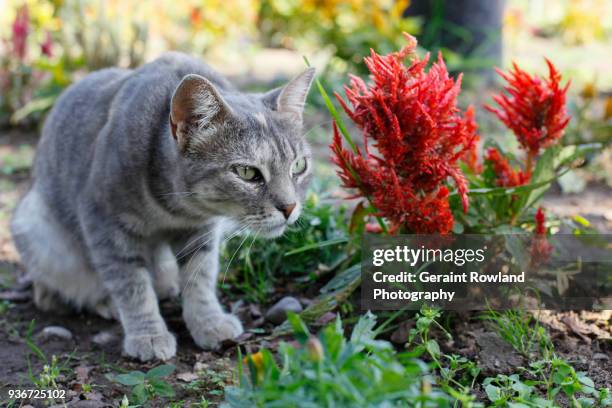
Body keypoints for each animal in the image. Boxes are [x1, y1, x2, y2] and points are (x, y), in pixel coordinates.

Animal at [10, 53, 316, 360]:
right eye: (247, 173)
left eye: (299, 166)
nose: (290, 207)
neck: (176, 207)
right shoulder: (104, 223)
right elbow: (131, 284)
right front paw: (148, 334)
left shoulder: (201, 231)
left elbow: (200, 277)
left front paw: (208, 322)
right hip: (38, 231)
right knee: (55, 290)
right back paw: (101, 301)